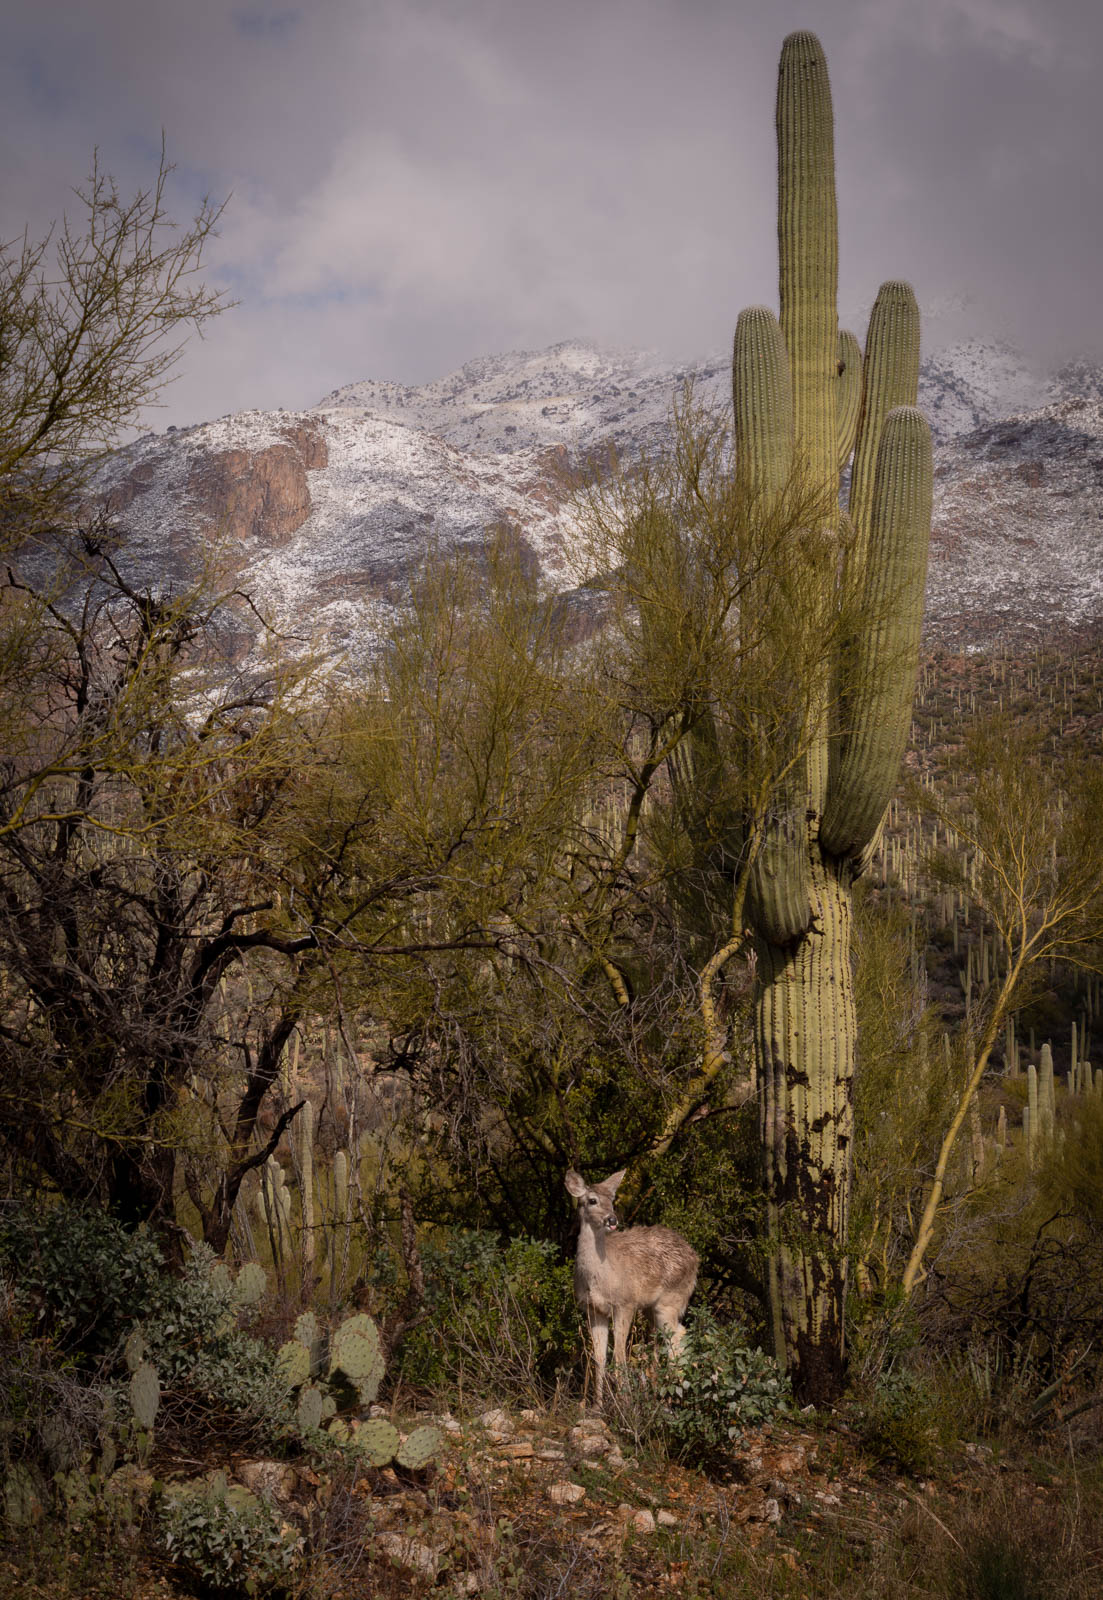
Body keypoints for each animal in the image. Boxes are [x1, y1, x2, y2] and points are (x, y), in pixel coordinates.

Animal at [565, 1167, 699, 1408]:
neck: (599, 1276)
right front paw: (597, 1406)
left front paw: (625, 1402)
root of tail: (696, 1258)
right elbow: (599, 1357)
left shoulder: (625, 1303)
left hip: (672, 1299)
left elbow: (619, 1354)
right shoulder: (593, 1309)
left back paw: (672, 1399)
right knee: (662, 1340)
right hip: (650, 1309)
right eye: (592, 1200)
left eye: (612, 1200)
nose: (612, 1219)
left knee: (677, 1337)